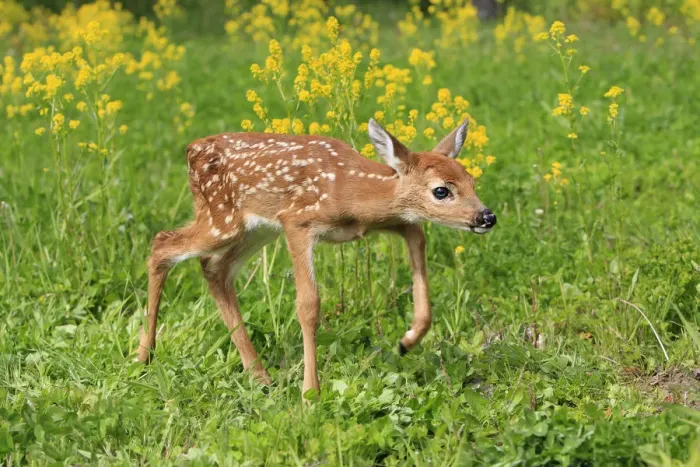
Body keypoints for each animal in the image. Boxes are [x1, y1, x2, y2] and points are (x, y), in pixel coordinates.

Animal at [137, 117, 497, 396]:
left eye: (472, 181)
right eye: (441, 190)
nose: (486, 217)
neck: (348, 189)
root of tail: (190, 149)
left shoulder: (387, 222)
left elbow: (419, 243)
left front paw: (407, 340)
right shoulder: (297, 221)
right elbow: (308, 305)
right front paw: (310, 393)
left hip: (254, 229)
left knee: (214, 268)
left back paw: (259, 375)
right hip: (222, 219)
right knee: (162, 244)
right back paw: (144, 355)